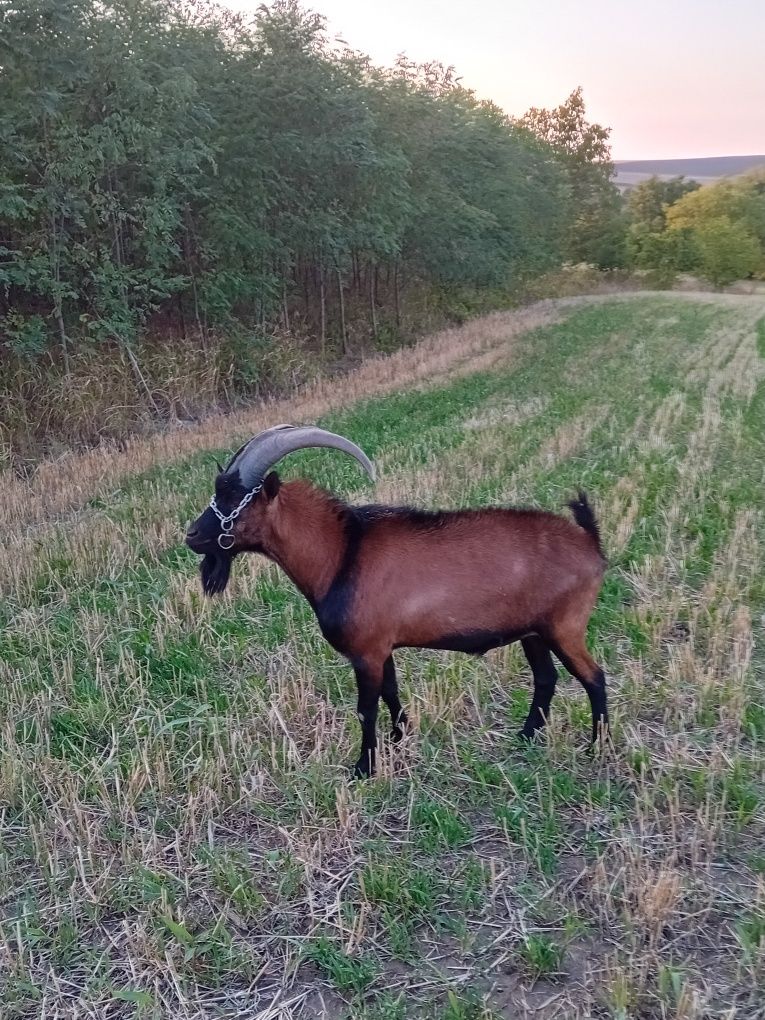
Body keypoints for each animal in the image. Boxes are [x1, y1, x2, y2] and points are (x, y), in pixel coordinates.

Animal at [187, 426, 612, 775]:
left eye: (232, 496)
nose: (192, 535)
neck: (341, 553)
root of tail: (589, 543)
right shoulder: (382, 646)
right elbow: (391, 692)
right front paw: (400, 738)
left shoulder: (366, 651)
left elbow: (366, 708)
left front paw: (364, 767)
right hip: (533, 631)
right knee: (546, 678)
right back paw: (525, 737)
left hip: (564, 626)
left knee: (593, 677)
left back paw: (598, 747)